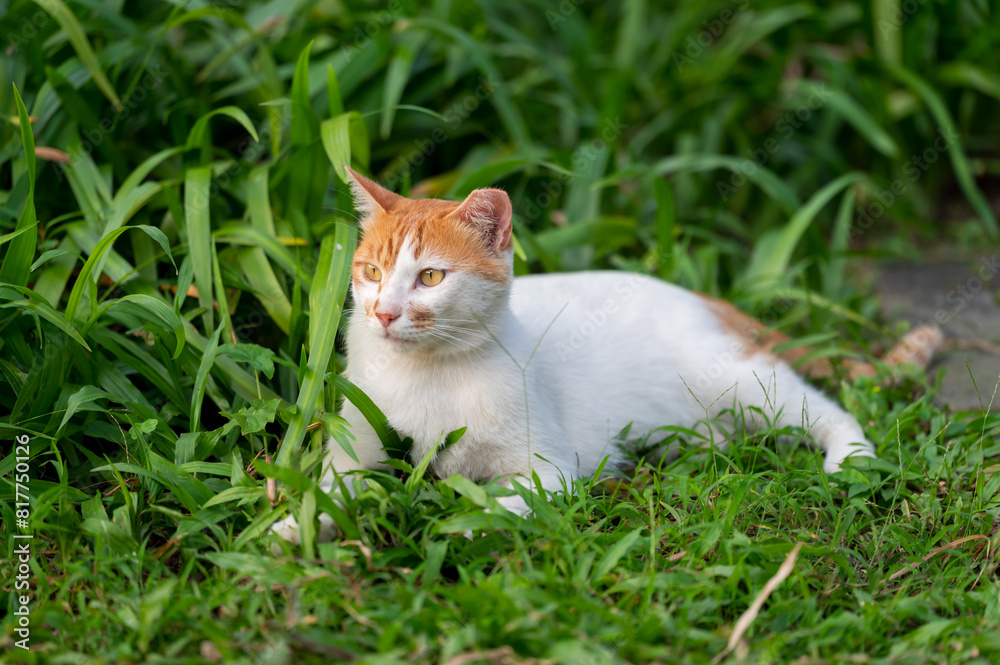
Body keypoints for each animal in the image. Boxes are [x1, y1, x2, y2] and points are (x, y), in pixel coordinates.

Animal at [270, 166, 940, 544]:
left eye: (431, 276)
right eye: (372, 272)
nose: (384, 313)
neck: (427, 374)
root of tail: (695, 292)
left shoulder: (549, 470)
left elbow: (501, 503)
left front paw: (447, 522)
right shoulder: (355, 454)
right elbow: (330, 493)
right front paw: (289, 531)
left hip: (738, 380)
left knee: (825, 406)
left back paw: (849, 460)